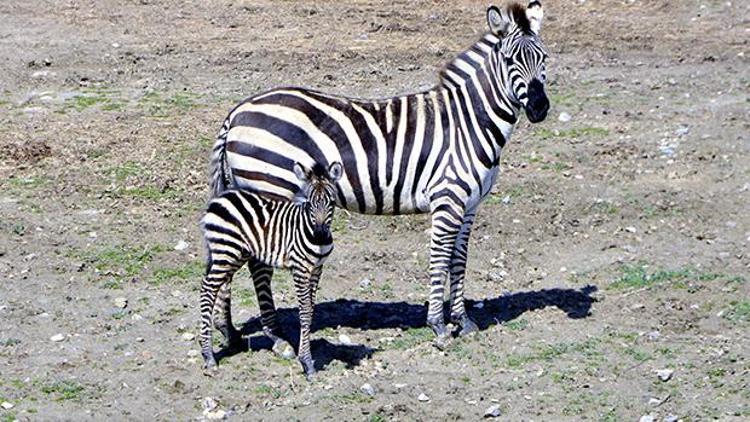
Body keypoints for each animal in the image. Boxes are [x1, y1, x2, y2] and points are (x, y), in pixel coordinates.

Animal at [197, 161, 344, 376]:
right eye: (309, 204)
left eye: (331, 203)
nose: (319, 235)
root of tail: (220, 198)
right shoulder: (300, 268)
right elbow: (304, 312)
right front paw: (307, 363)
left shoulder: (317, 269)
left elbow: (310, 310)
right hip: (226, 251)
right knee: (207, 289)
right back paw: (208, 356)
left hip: (235, 254)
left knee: (214, 286)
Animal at [212, 1, 552, 348]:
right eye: (510, 60)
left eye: (544, 58)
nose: (540, 108)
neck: (469, 122)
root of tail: (237, 112)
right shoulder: (448, 199)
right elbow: (440, 258)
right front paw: (438, 324)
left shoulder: (469, 204)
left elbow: (459, 259)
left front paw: (463, 320)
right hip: (271, 188)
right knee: (258, 264)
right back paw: (276, 335)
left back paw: (231, 332)